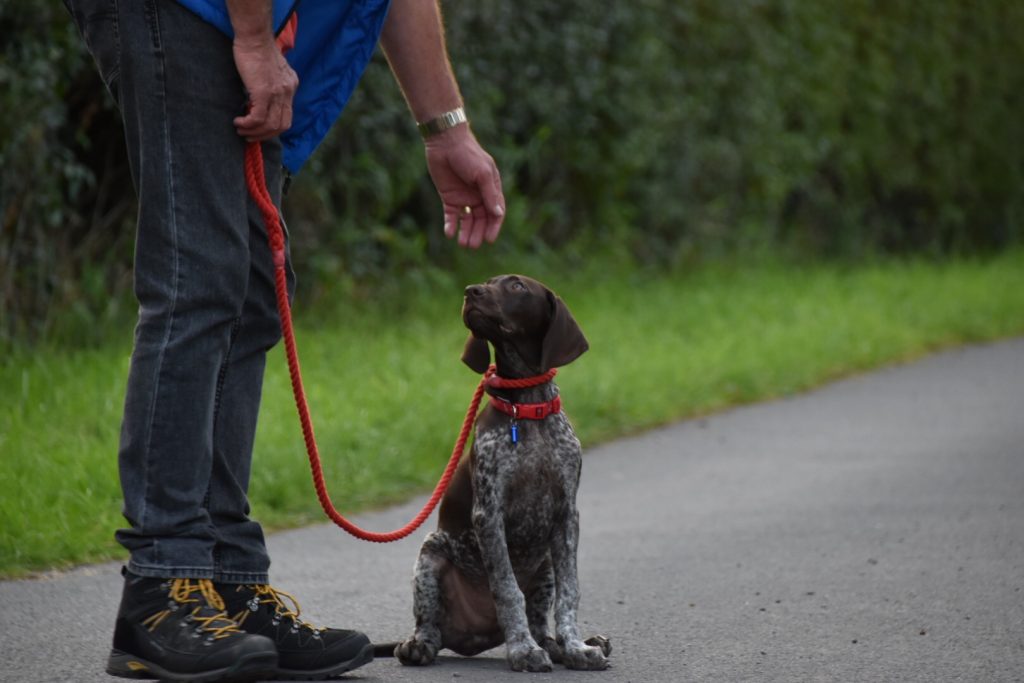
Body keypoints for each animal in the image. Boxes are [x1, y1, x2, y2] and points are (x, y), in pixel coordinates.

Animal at [393, 274, 606, 671]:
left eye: (517, 286)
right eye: (488, 283)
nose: (470, 292)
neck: (529, 409)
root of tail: (475, 636)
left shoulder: (567, 515)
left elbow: (570, 593)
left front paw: (575, 647)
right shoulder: (489, 514)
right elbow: (507, 590)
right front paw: (522, 650)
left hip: (545, 564)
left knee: (541, 622)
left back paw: (555, 645)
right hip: (430, 553)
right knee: (430, 625)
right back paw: (418, 646)